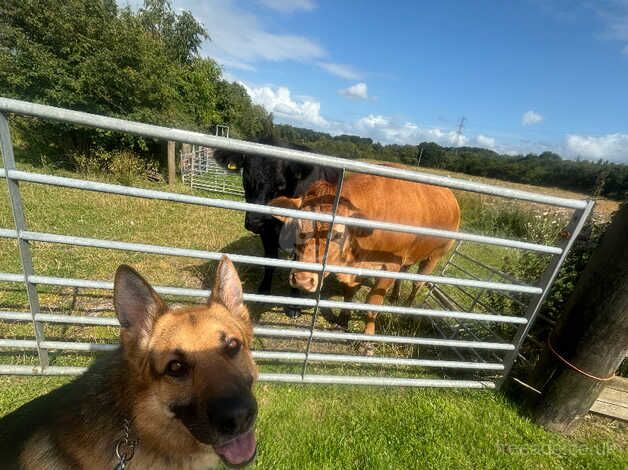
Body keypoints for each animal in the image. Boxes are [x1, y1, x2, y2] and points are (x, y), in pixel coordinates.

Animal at [213, 138, 340, 318]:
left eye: (280, 184)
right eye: (246, 178)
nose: (254, 221)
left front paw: (294, 304)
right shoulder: (267, 232)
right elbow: (269, 261)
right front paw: (264, 290)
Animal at [272, 168, 462, 348]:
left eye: (337, 234)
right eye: (297, 226)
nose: (302, 280)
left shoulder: (390, 267)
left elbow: (372, 304)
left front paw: (367, 339)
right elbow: (349, 294)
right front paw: (343, 320)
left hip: (434, 256)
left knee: (417, 283)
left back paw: (407, 307)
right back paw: (395, 296)